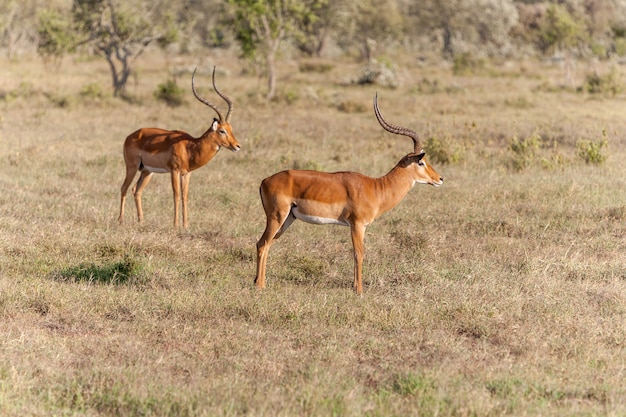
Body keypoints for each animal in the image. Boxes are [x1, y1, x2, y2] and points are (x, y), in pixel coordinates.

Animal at [118, 66, 240, 228]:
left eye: (230, 128)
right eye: (222, 130)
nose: (237, 146)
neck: (190, 147)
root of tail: (130, 136)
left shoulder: (187, 174)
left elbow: (185, 196)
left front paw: (185, 225)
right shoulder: (174, 171)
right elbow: (176, 195)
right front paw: (176, 225)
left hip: (147, 171)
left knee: (136, 190)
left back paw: (141, 221)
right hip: (131, 167)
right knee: (124, 188)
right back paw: (120, 221)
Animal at [251, 93, 442, 296]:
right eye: (421, 162)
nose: (440, 178)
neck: (377, 188)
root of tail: (265, 180)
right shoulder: (357, 225)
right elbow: (359, 253)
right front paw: (359, 290)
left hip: (288, 219)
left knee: (267, 244)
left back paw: (261, 282)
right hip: (276, 217)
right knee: (262, 243)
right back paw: (259, 286)